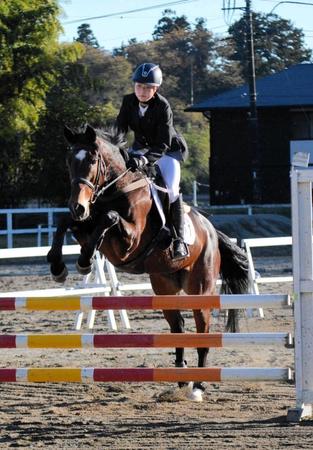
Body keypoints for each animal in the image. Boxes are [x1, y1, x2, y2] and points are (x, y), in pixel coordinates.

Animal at [47, 124, 250, 400]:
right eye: (69, 161)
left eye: (91, 160)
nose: (77, 206)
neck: (116, 190)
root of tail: (211, 230)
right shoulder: (86, 224)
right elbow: (65, 222)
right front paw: (59, 266)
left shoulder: (128, 243)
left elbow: (109, 218)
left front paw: (83, 261)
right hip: (165, 287)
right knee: (178, 327)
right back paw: (181, 377)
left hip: (201, 289)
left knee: (203, 331)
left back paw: (197, 386)